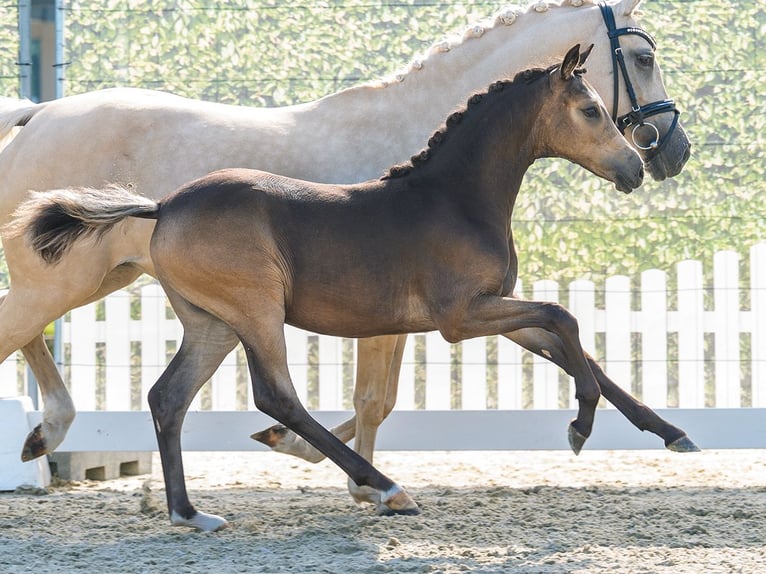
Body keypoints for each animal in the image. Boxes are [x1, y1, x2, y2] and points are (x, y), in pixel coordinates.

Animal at [0, 0, 693, 506]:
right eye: (641, 57)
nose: (662, 154)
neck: (444, 190)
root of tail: (36, 114)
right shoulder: (449, 316)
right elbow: (377, 399)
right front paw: (355, 481)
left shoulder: (485, 305)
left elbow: (575, 349)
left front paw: (670, 433)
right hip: (129, 292)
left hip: (173, 306)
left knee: (146, 386)